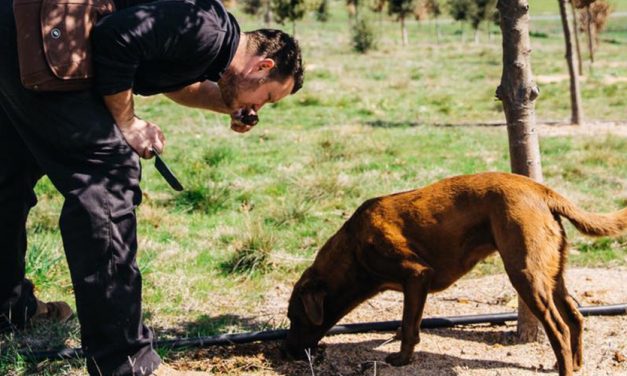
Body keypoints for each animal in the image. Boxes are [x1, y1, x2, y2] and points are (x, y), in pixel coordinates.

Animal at [286, 172, 627, 374]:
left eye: (292, 316)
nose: (285, 351)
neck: (354, 245)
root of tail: (541, 189)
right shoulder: (416, 285)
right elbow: (410, 323)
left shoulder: (416, 275)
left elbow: (408, 326)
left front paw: (401, 359)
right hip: (551, 273)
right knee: (575, 317)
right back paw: (575, 363)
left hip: (526, 274)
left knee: (559, 327)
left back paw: (565, 367)